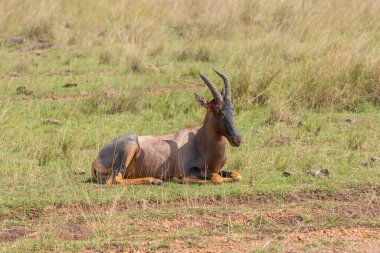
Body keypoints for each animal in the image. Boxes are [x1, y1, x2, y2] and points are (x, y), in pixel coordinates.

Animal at [90, 70, 242, 185]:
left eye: (232, 109)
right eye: (218, 111)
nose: (237, 139)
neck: (199, 140)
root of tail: (96, 159)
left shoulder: (216, 169)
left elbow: (236, 175)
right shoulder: (189, 170)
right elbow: (217, 178)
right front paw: (178, 179)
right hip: (129, 147)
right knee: (115, 180)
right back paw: (156, 180)